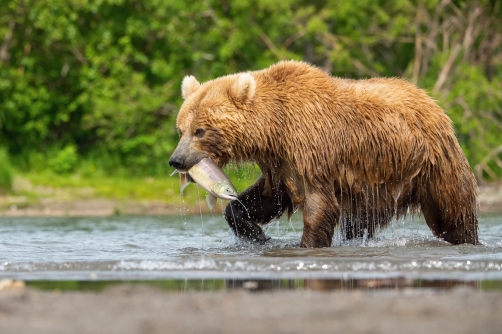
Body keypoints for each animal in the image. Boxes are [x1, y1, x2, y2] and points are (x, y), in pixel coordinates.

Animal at [170, 60, 478, 248]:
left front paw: (307, 244)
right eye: (180, 129)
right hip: (376, 186)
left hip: (430, 164)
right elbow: (266, 198)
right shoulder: (281, 163)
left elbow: (318, 206)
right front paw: (257, 234)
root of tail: (432, 101)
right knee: (359, 223)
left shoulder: (311, 150)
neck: (275, 128)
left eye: (200, 130)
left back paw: (468, 239)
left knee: (454, 212)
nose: (176, 160)